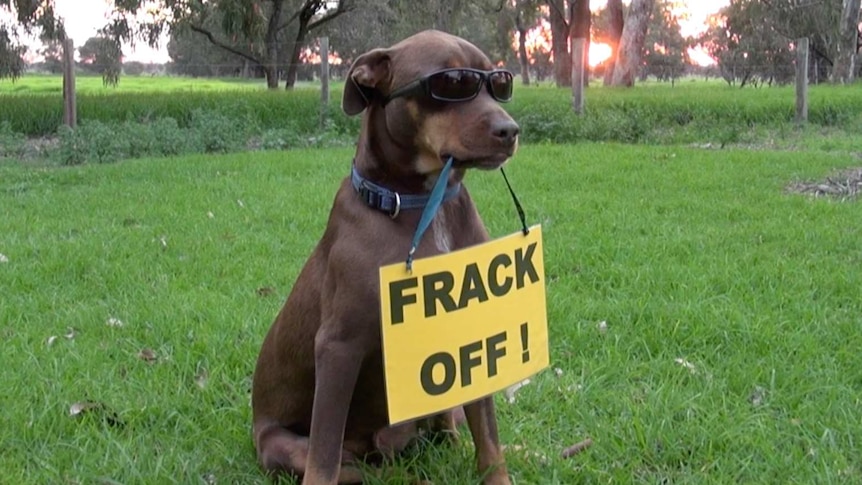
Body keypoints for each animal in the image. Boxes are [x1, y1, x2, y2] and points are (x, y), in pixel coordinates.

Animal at [250, 30, 520, 484]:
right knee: (339, 463)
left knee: (450, 430)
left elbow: (488, 438)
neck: (423, 205)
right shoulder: (339, 347)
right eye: (452, 82)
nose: (511, 129)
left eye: (498, 82)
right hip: (281, 446)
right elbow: (323, 456)